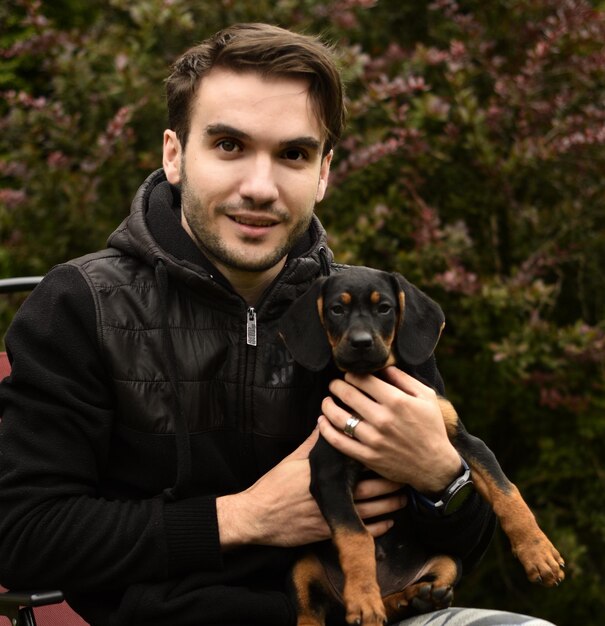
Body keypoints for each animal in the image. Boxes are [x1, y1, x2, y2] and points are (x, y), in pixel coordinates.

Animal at [280, 266, 564, 624]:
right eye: (336, 309)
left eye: (384, 308)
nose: (361, 343)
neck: (379, 378)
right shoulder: (328, 467)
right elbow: (356, 536)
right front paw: (363, 599)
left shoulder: (464, 441)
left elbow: (507, 492)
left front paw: (539, 553)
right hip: (301, 566)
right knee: (309, 611)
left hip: (448, 560)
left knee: (417, 588)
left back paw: (416, 597)